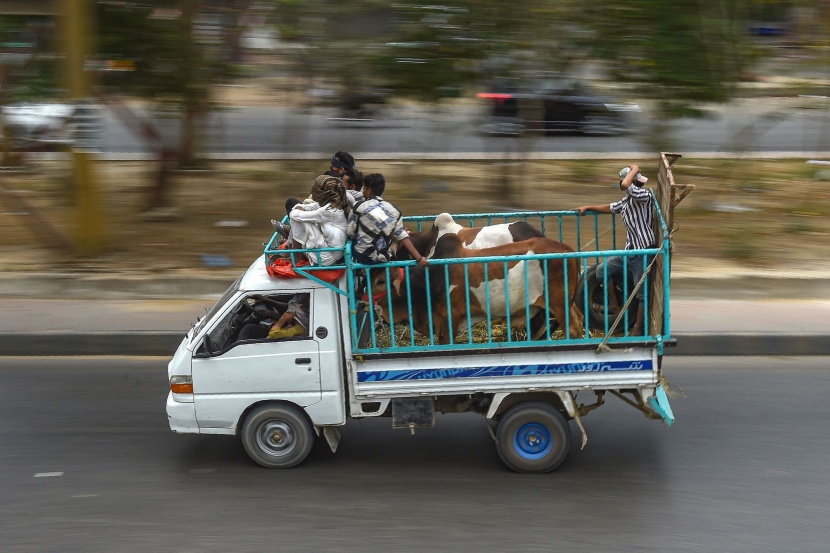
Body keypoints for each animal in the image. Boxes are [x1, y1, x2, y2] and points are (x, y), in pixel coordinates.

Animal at [370, 233, 584, 344]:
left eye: (380, 281)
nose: (363, 300)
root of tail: (567, 249)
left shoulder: (450, 318)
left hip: (559, 304)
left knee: (573, 328)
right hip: (565, 302)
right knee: (579, 318)